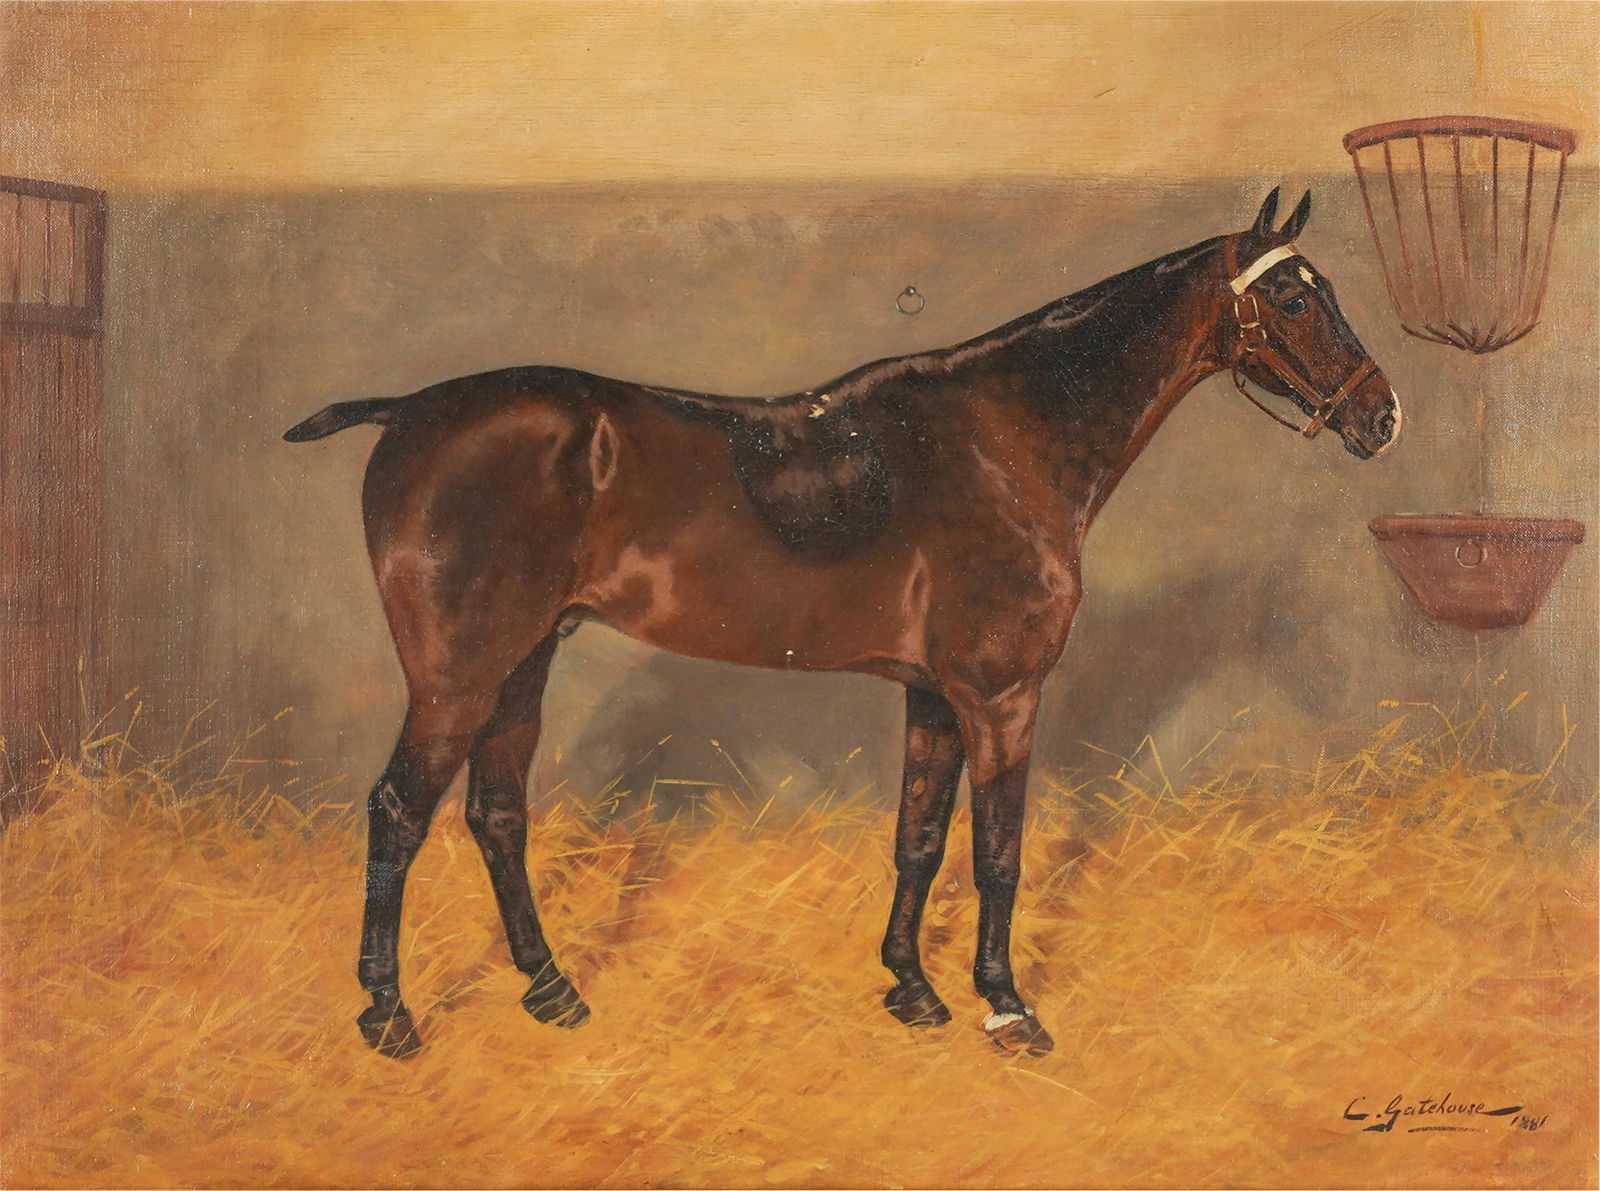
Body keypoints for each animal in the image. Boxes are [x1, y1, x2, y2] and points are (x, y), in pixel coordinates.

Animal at [285, 189, 1400, 1060]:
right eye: (1293, 295)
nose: (1382, 415)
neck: (1005, 441)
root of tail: (407, 412)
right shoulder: (1001, 694)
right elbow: (998, 851)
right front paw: (1006, 1007)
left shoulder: (935, 697)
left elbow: (918, 839)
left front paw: (910, 987)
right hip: (458, 677)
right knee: (398, 811)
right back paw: (388, 1015)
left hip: (522, 665)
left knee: (497, 816)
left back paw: (552, 991)